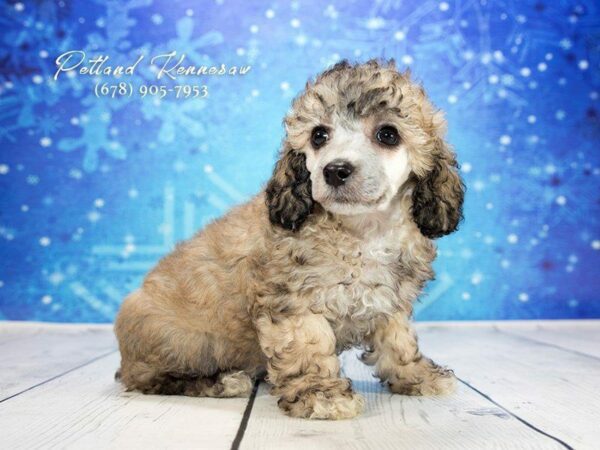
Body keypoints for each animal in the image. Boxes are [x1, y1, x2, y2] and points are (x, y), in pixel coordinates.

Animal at [115, 59, 466, 418]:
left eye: (388, 134)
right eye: (319, 135)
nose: (335, 170)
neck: (360, 230)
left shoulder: (388, 301)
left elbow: (398, 340)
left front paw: (417, 375)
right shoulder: (293, 302)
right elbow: (308, 348)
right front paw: (321, 394)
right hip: (184, 342)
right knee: (151, 378)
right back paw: (223, 382)